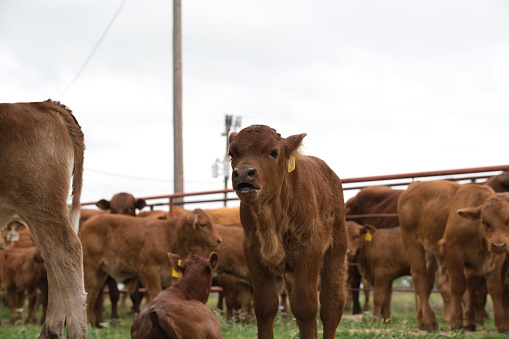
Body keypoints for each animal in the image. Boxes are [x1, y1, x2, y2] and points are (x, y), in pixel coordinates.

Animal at [80, 209, 221, 326]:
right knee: (88, 293)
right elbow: (155, 292)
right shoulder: (150, 270)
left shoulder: (169, 275)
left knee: (93, 293)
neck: (168, 236)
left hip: (100, 272)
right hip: (90, 267)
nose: (219, 240)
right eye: (203, 224)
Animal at [228, 125, 348, 339]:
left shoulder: (309, 250)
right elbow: (265, 306)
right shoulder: (253, 253)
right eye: (232, 153)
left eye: (274, 152)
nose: (243, 173)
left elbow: (305, 307)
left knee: (331, 305)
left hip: (336, 252)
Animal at [398, 182, 508, 334]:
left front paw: (502, 325)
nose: (498, 245)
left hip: (430, 254)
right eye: (484, 222)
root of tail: (415, 185)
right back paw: (430, 321)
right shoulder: (453, 252)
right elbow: (458, 286)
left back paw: (422, 321)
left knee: (426, 283)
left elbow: (494, 288)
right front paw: (456, 322)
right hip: (413, 243)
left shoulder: (495, 259)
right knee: (419, 278)